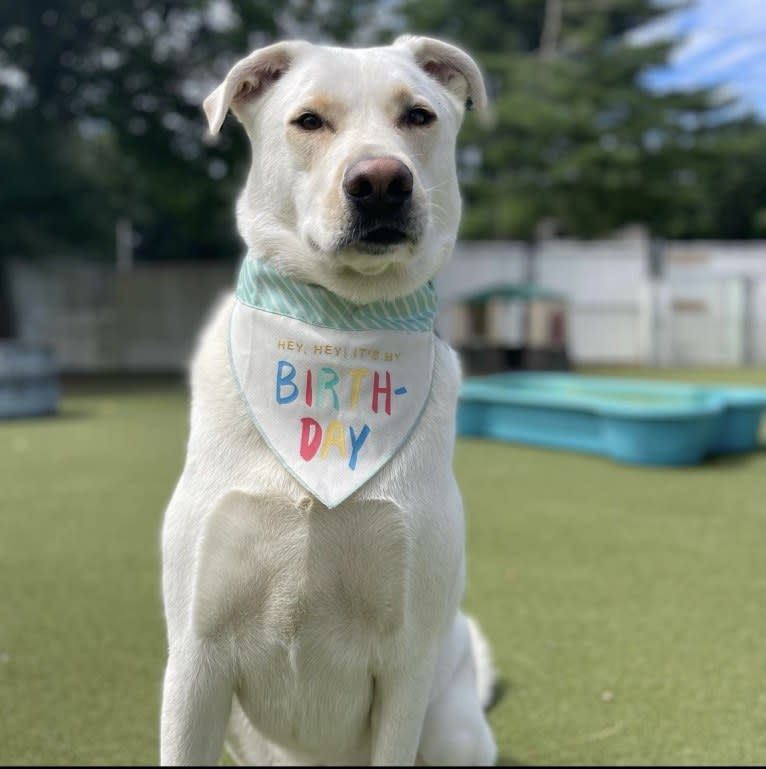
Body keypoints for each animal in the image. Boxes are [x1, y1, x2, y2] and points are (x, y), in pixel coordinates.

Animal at [160, 34, 498, 760]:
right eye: (309, 121)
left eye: (419, 116)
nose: (382, 181)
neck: (339, 326)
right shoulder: (195, 660)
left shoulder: (405, 668)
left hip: (450, 724)